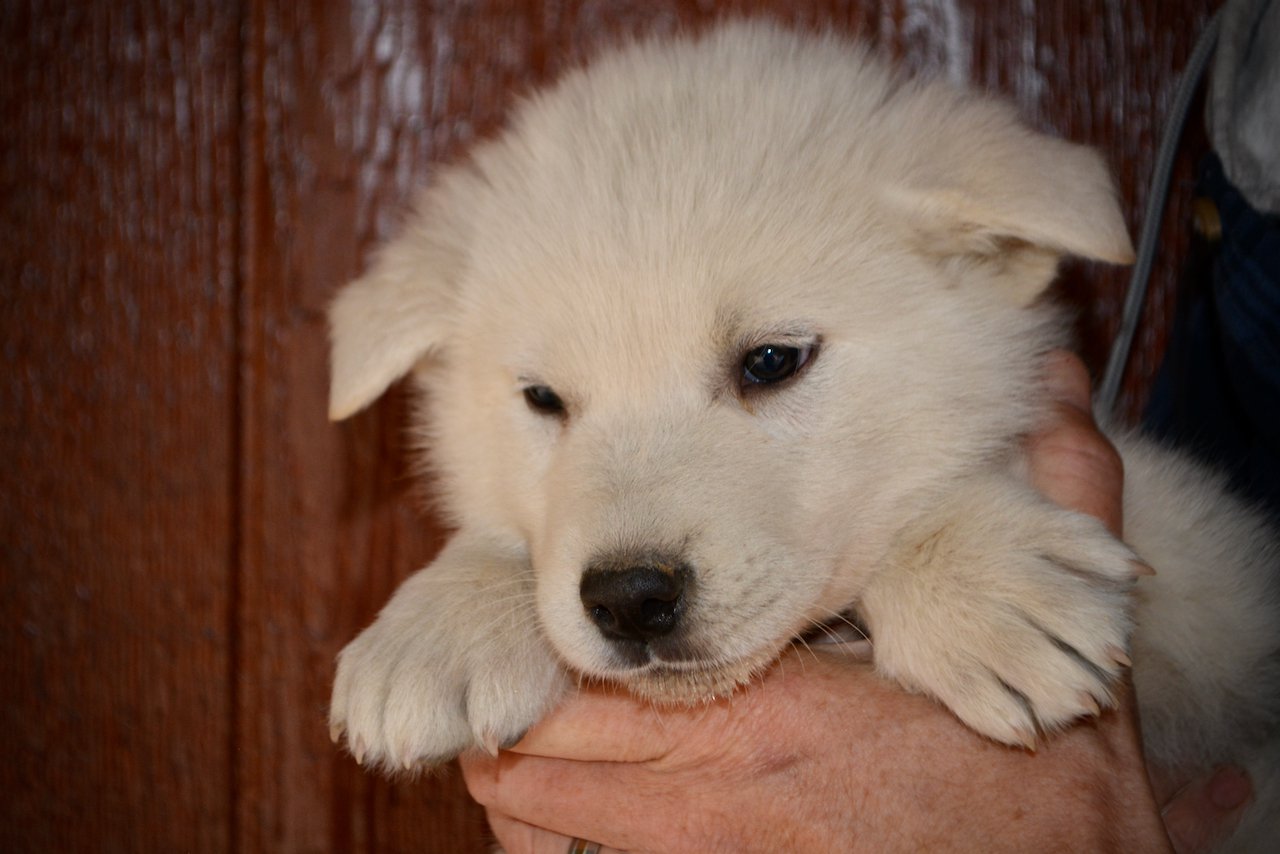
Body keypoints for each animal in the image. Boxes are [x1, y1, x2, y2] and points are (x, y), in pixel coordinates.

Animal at [327, 20, 1280, 850]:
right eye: (543, 398)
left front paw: (978, 586)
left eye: (771, 361)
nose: (628, 598)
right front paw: (443, 621)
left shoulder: (1214, 592)